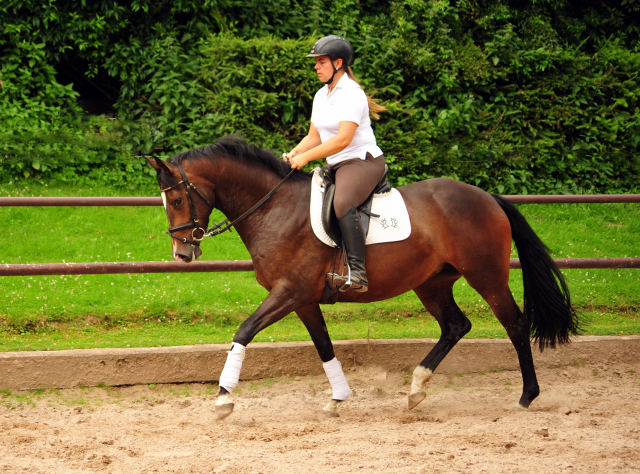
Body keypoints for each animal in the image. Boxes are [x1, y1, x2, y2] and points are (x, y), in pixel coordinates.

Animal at [145, 136, 580, 418]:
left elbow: (244, 330)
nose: (182, 253)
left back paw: (526, 396)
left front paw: (223, 397)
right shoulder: (303, 300)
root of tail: (488, 197)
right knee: (456, 326)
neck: (273, 208)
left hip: (486, 276)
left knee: (516, 324)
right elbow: (323, 346)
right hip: (432, 283)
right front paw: (338, 398)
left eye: (178, 198)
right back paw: (416, 390)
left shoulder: (289, 293)